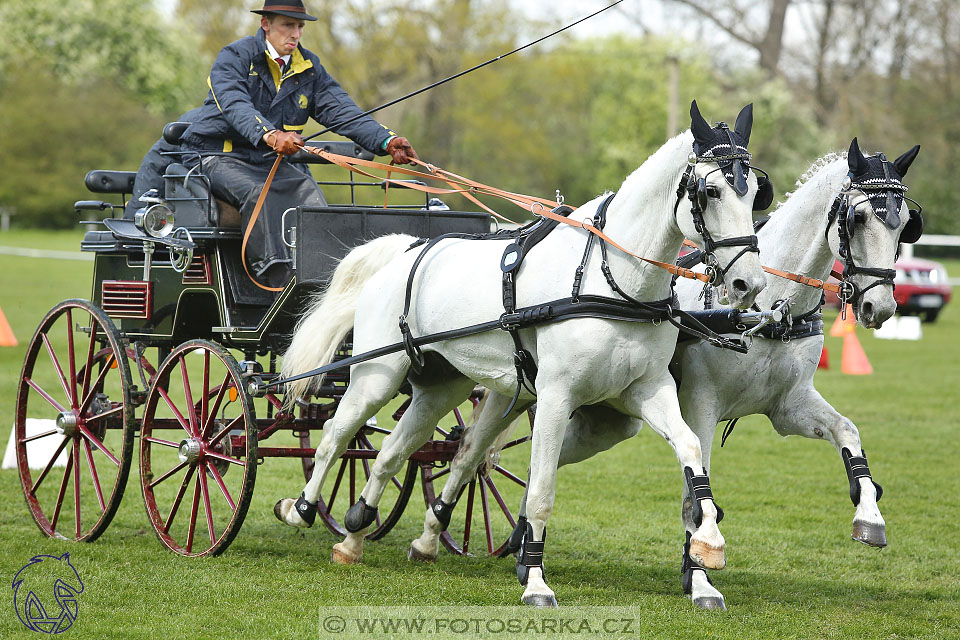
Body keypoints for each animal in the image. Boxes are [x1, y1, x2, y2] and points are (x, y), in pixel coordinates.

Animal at [276, 100, 764, 604]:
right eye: (711, 191)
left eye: (755, 194)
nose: (748, 283)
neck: (611, 280)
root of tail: (407, 247)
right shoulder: (554, 396)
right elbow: (541, 490)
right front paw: (534, 579)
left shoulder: (648, 389)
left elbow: (690, 448)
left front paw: (708, 543)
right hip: (376, 374)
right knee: (335, 434)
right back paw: (300, 509)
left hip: (440, 386)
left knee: (397, 452)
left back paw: (356, 536)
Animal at [468, 138, 920, 608]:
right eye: (859, 217)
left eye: (906, 223)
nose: (880, 307)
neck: (768, 311)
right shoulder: (703, 404)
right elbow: (696, 491)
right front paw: (700, 576)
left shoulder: (788, 405)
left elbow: (847, 431)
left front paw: (870, 516)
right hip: (533, 394)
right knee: (477, 451)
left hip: (605, 420)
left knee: (544, 461)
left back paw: (521, 541)